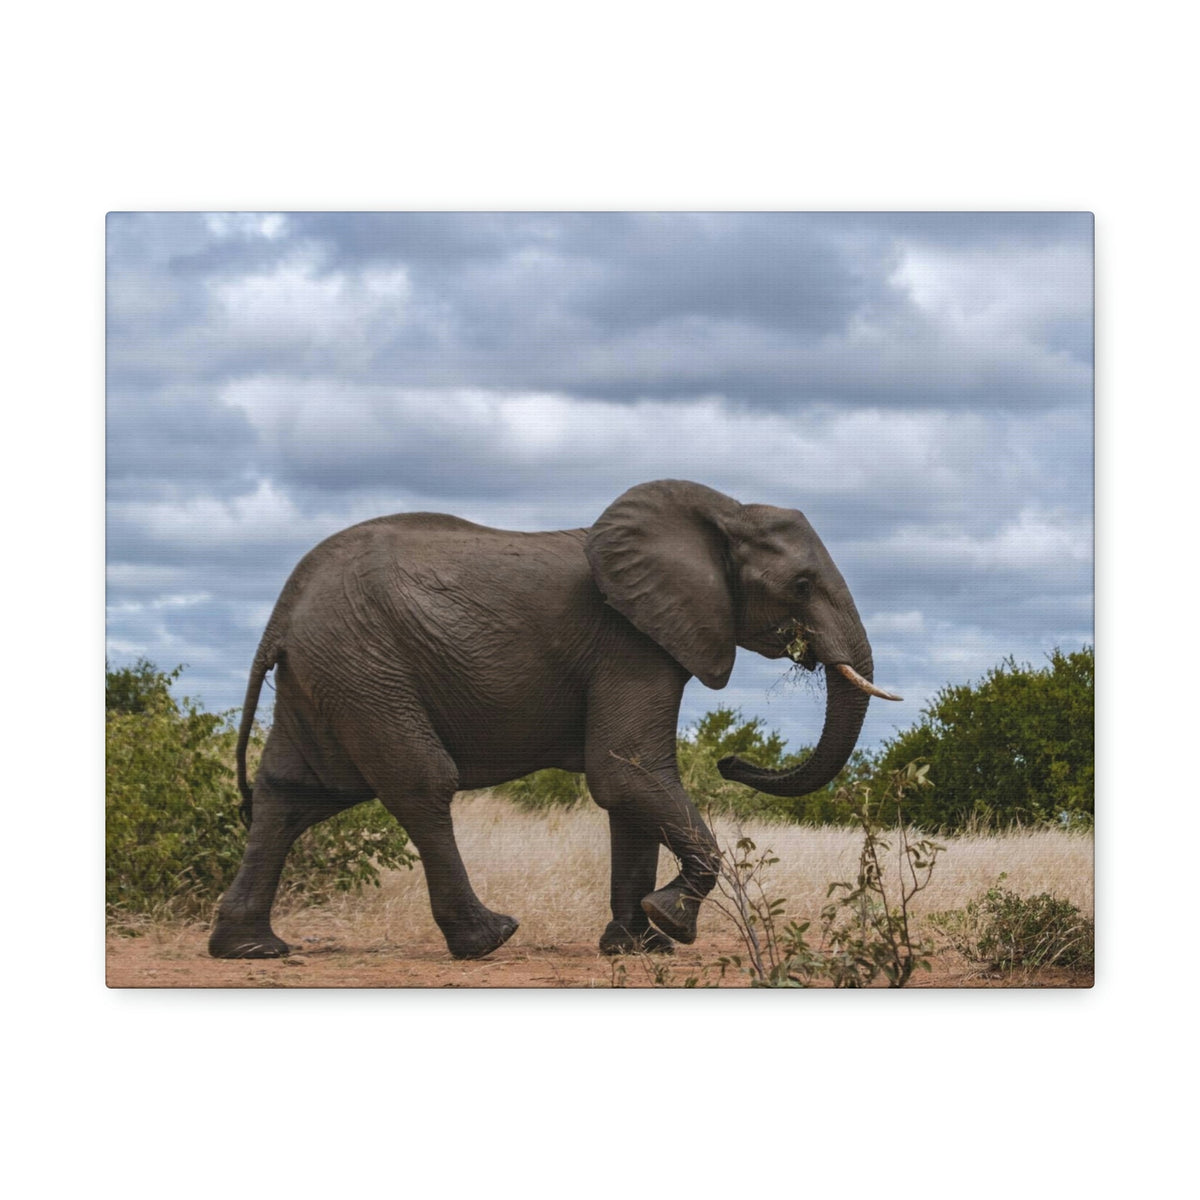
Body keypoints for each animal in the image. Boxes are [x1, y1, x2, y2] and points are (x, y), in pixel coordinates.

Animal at [208, 479, 900, 961]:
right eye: (803, 585)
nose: (731, 762)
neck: (721, 512)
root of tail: (283, 608)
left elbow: (629, 787)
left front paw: (635, 945)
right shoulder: (630, 641)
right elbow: (625, 773)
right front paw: (670, 923)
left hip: (329, 674)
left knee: (292, 793)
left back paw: (251, 949)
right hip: (364, 665)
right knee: (421, 782)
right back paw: (488, 938)